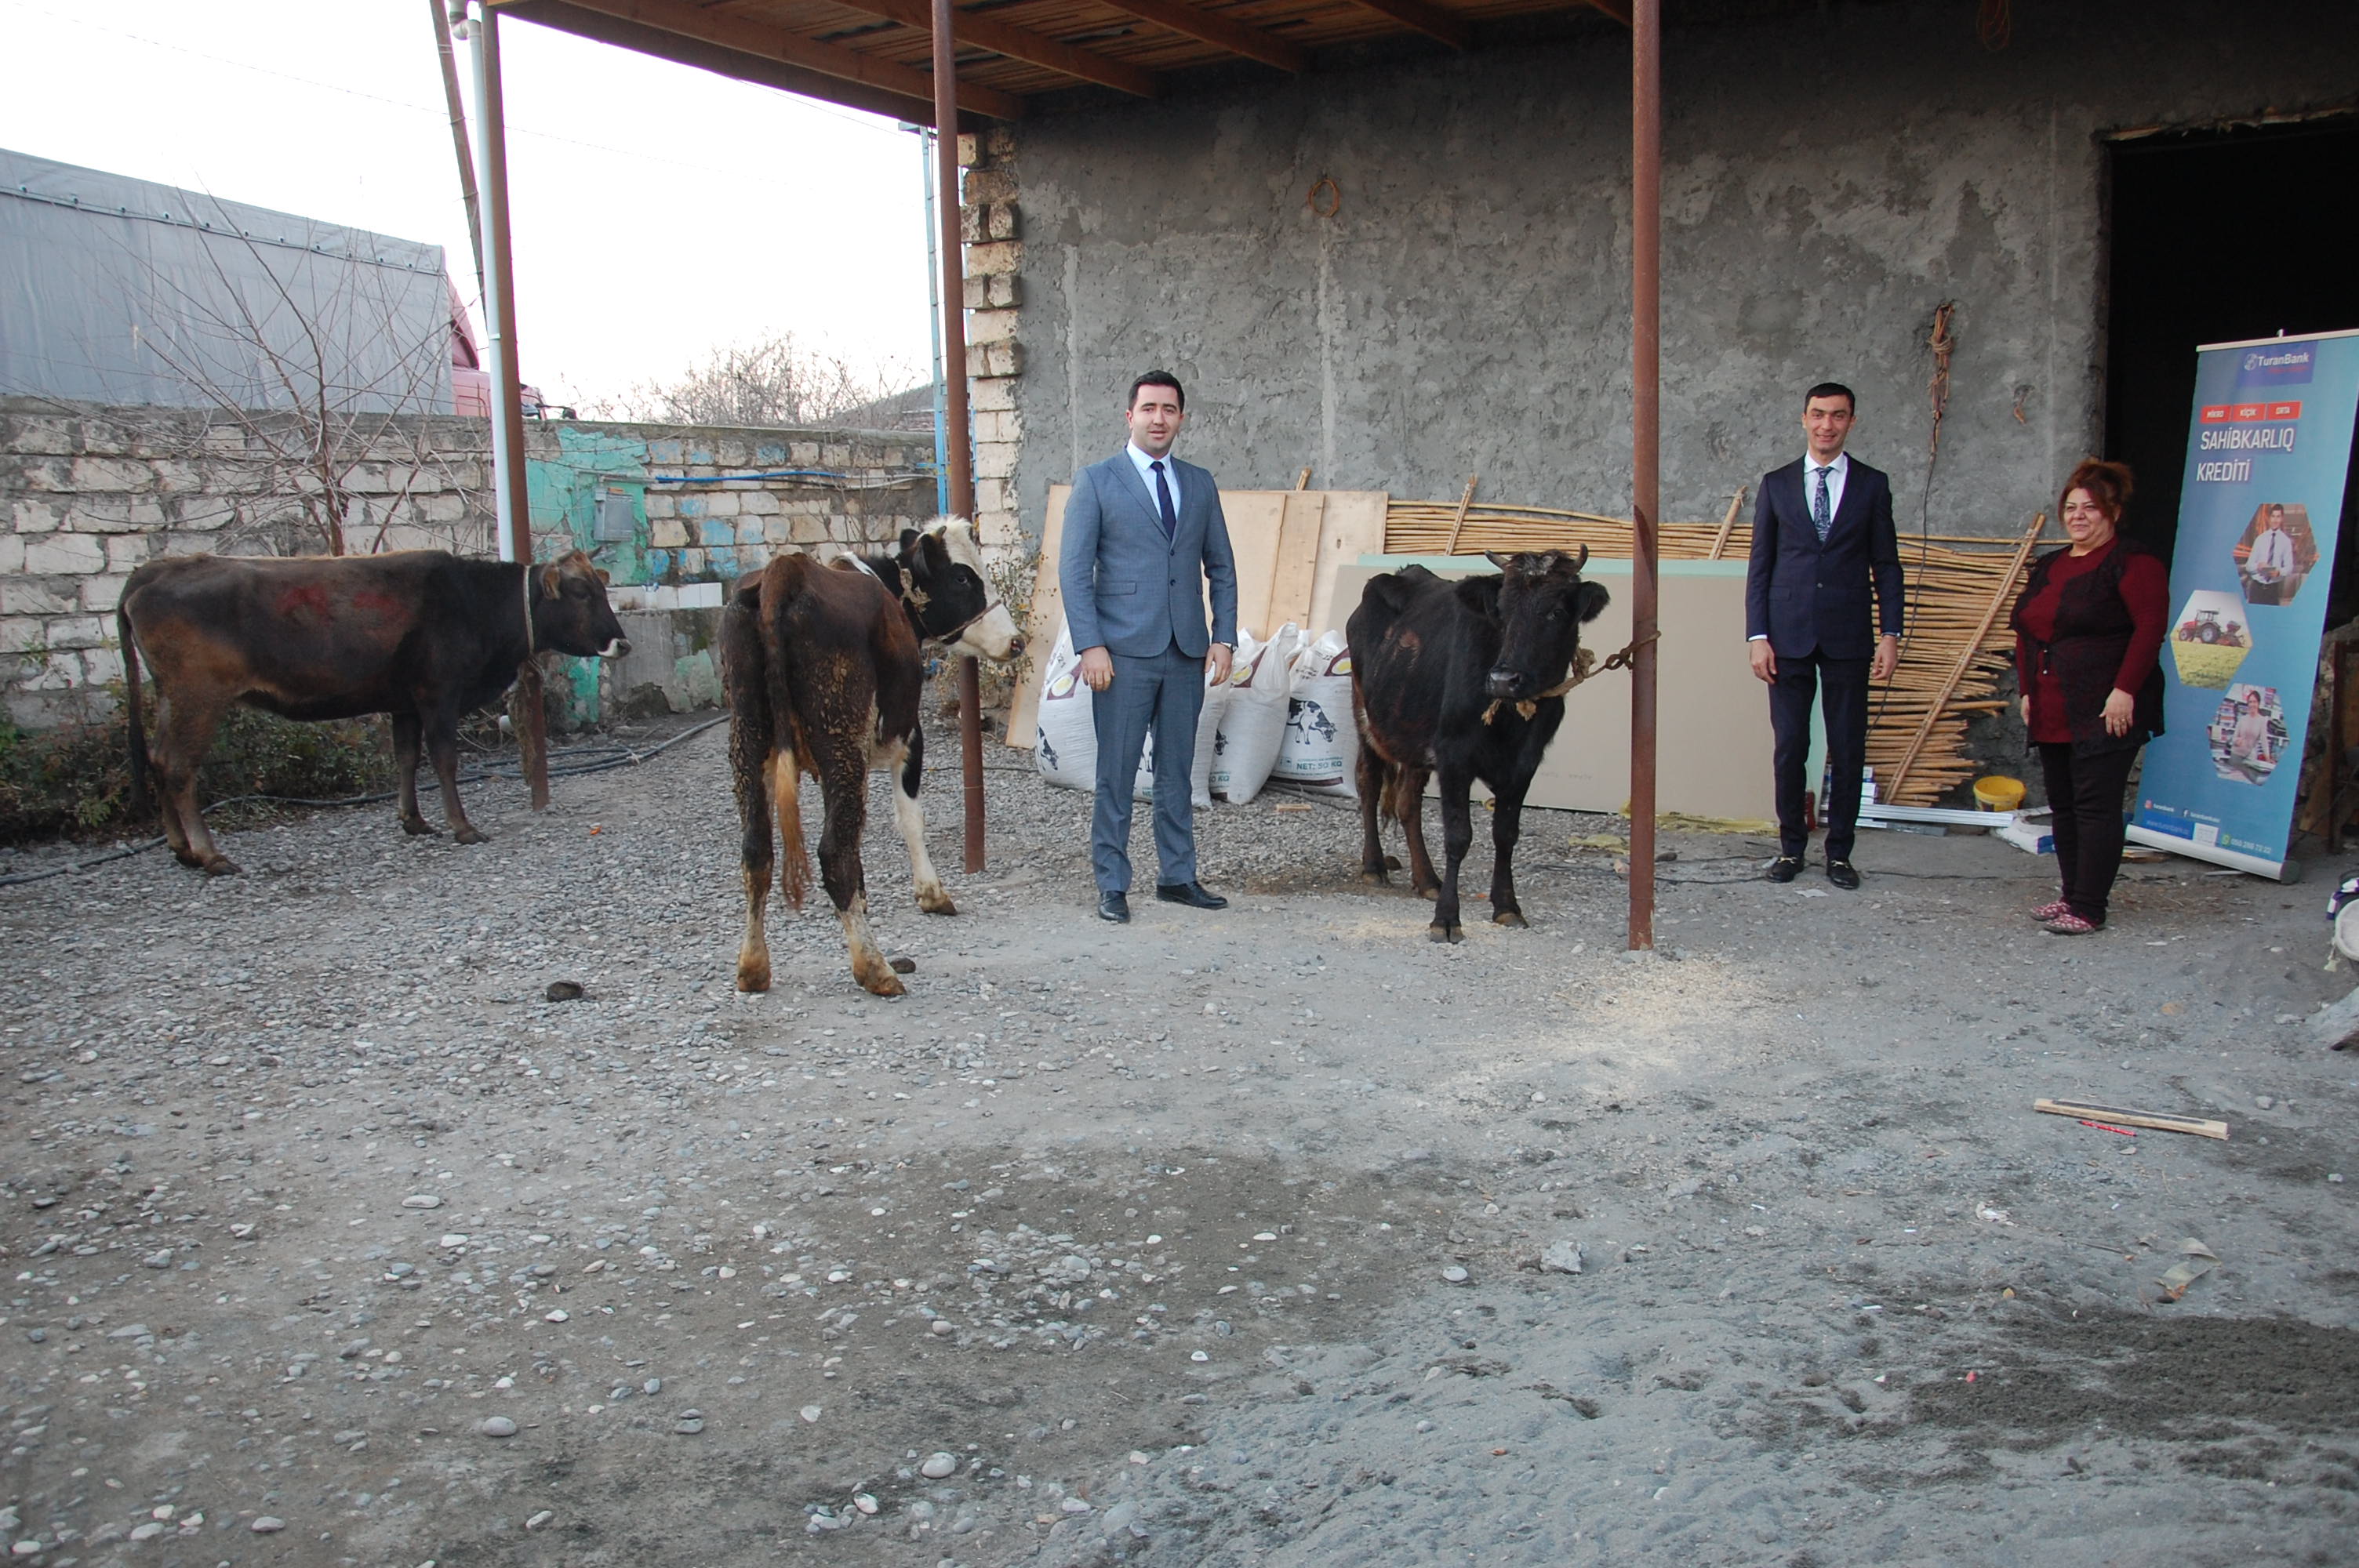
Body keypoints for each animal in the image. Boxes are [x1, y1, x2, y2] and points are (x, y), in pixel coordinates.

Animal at [118, 549, 628, 875]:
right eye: (582, 593)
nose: (621, 642)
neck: (476, 601)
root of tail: (155, 570)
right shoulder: (438, 694)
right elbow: (444, 760)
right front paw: (462, 826)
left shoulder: (404, 702)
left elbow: (407, 759)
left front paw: (414, 820)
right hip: (199, 697)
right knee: (180, 768)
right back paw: (209, 855)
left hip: (172, 697)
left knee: (159, 760)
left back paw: (182, 849)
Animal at [725, 518, 1025, 998]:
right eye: (963, 577)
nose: (1016, 642)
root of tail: (785, 572)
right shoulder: (907, 737)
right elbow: (909, 819)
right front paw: (932, 893)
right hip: (839, 739)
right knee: (832, 853)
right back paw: (874, 966)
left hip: (750, 738)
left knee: (757, 850)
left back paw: (753, 966)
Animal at [1348, 548, 1609, 942]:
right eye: (1501, 611)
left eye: (1556, 612)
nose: (1503, 679)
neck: (1510, 720)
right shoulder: (1455, 757)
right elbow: (1459, 837)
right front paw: (1446, 918)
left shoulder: (1524, 764)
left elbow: (1506, 835)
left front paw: (1507, 905)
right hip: (1365, 713)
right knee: (1369, 782)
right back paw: (1375, 866)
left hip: (1414, 737)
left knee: (1408, 803)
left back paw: (1427, 879)